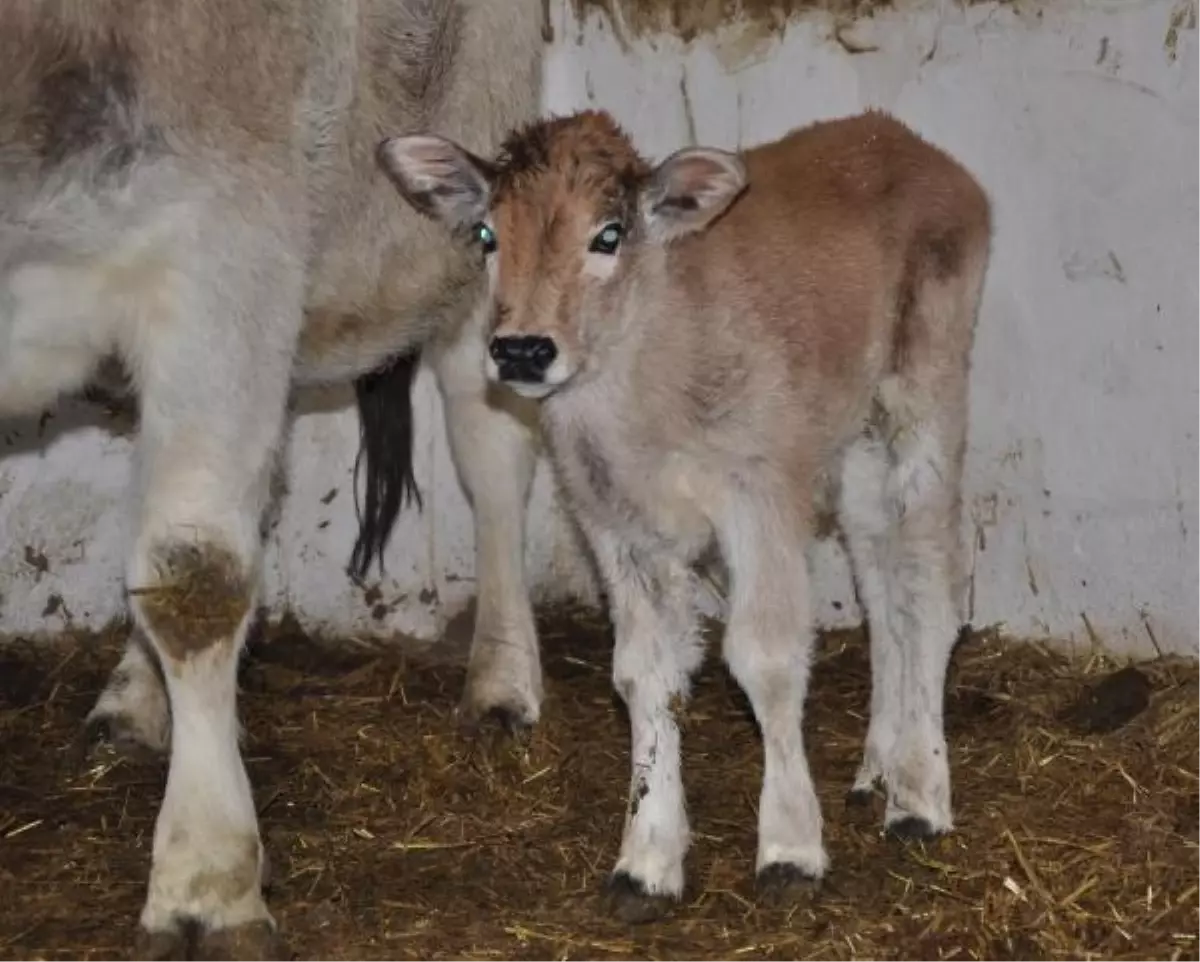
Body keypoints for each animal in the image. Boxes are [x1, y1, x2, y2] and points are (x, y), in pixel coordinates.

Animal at [0, 0, 544, 950]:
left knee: (492, 457)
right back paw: (134, 697)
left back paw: (504, 681)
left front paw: (204, 884)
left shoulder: (222, 249)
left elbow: (195, 575)